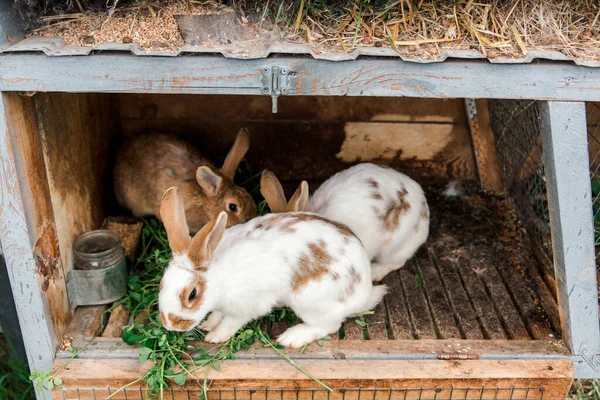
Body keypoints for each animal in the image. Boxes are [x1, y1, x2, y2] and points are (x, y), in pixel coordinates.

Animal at [157, 187, 386, 346]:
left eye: (192, 294)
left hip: (310, 302)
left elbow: (231, 322)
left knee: (329, 325)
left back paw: (292, 338)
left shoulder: (247, 306)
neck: (217, 277)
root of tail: (364, 293)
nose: (169, 324)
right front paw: (208, 324)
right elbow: (217, 314)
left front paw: (215, 336)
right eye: (162, 283)